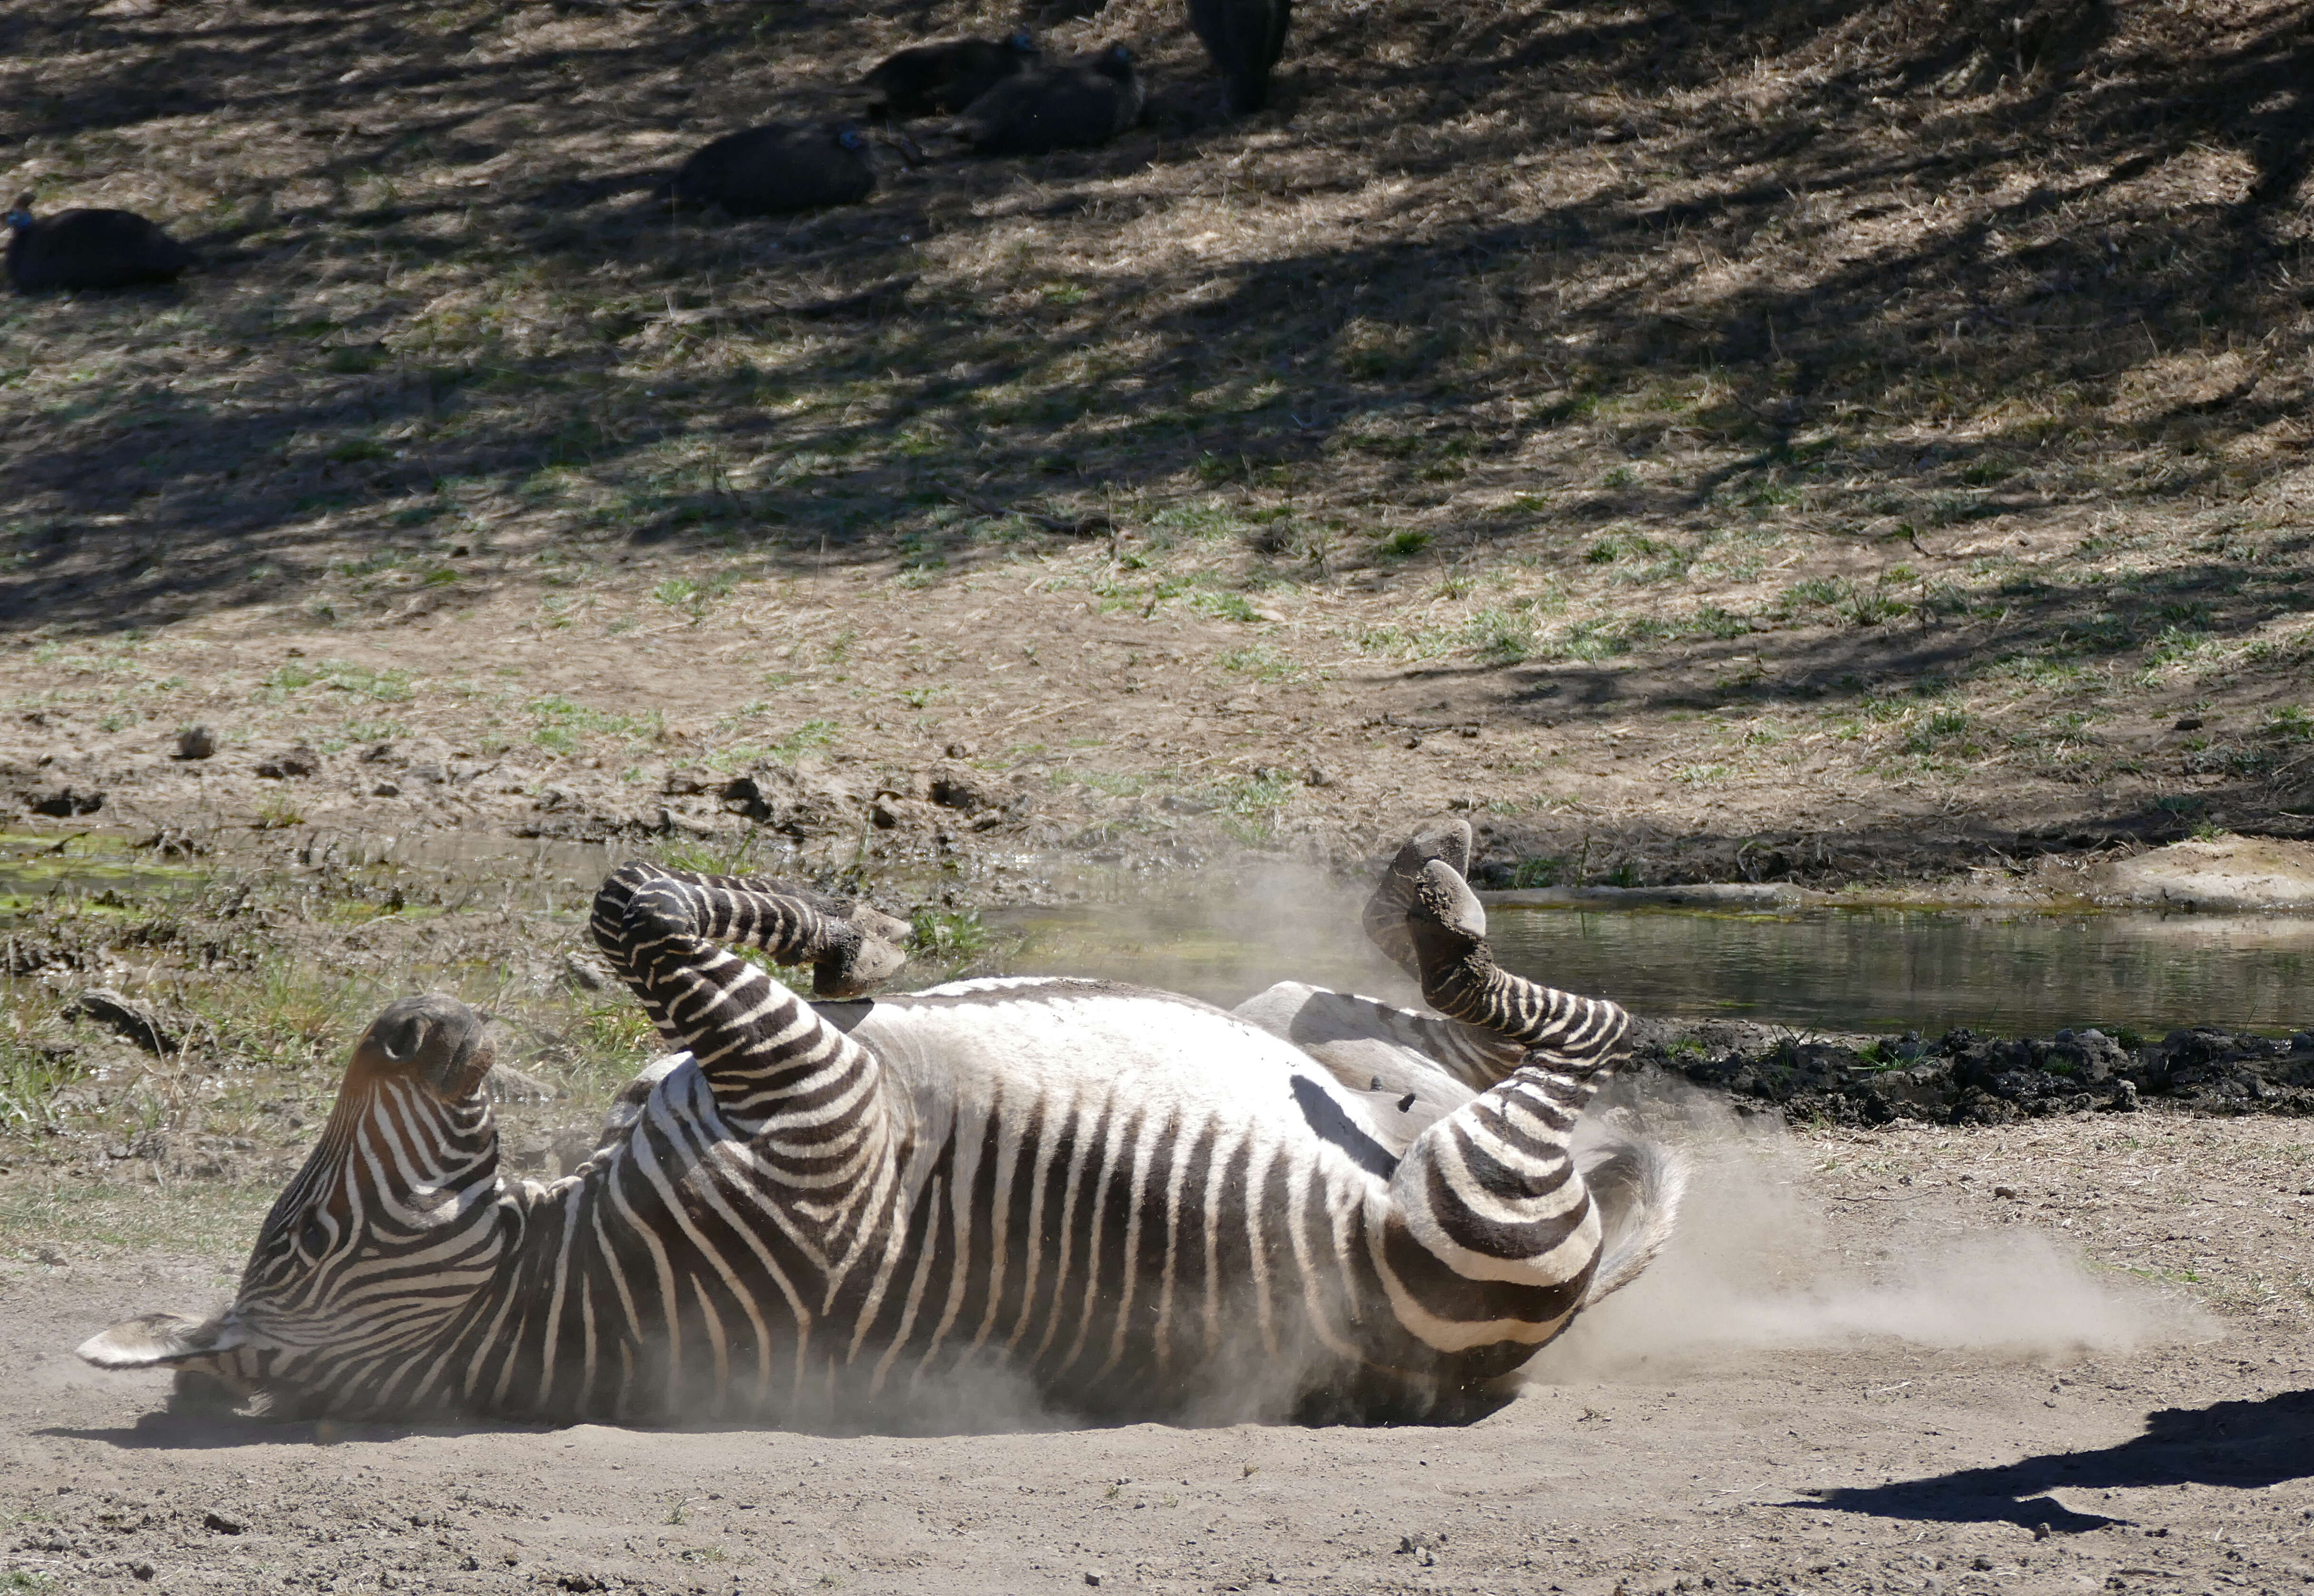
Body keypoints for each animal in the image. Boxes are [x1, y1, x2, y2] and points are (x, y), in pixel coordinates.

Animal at [81, 819, 1694, 1415]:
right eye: (306, 1240)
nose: (414, 1023)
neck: (539, 1278)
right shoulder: (812, 1100)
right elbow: (630, 903)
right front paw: (844, 929)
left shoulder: (749, 1068)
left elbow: (660, 903)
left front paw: (851, 932)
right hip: (1463, 1197)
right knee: (1595, 1041)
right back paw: (1441, 916)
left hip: (1305, 1016)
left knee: (1444, 1047)